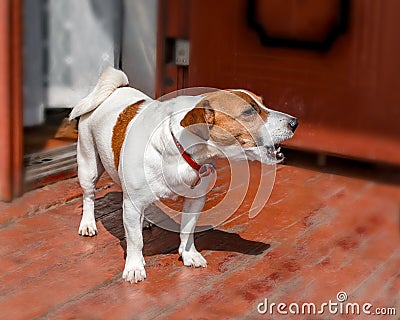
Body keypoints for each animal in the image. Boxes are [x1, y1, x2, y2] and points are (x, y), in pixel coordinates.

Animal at [71, 67, 296, 282]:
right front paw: (134, 266)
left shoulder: (195, 201)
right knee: (89, 196)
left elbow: (187, 230)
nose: (295, 122)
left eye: (262, 103)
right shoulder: (132, 205)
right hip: (88, 165)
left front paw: (189, 255)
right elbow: (135, 241)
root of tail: (116, 89)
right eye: (249, 111)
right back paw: (88, 223)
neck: (182, 151)